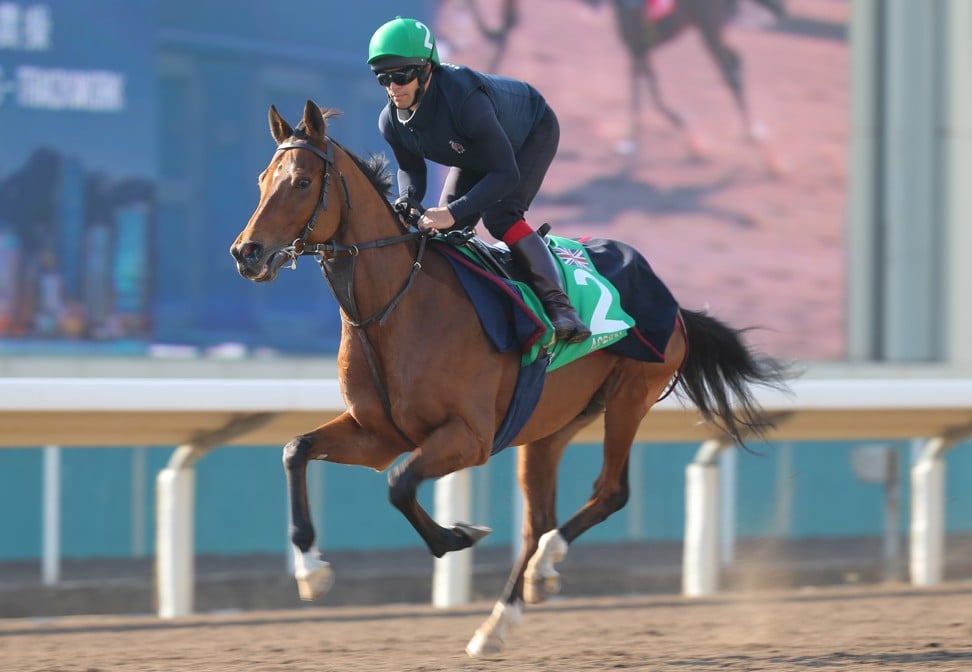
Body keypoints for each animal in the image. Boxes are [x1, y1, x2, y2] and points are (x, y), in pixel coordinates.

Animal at [230, 100, 788, 656]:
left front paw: (459, 535)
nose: (246, 253)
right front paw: (311, 569)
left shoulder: (469, 437)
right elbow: (297, 450)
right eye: (261, 180)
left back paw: (544, 567)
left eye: (302, 181)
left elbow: (399, 484)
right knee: (537, 520)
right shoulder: (379, 435)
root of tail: (674, 305)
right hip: (549, 424)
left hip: (630, 397)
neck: (393, 310)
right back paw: (500, 619)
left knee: (608, 493)